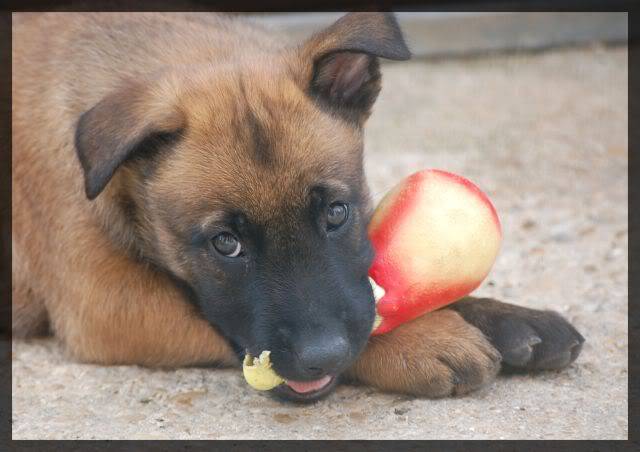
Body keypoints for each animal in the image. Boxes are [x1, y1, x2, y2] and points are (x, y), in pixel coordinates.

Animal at [12, 11, 584, 402]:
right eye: (225, 243)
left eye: (336, 213)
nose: (322, 355)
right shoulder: (103, 303)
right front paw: (419, 341)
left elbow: (374, 296)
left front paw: (506, 317)